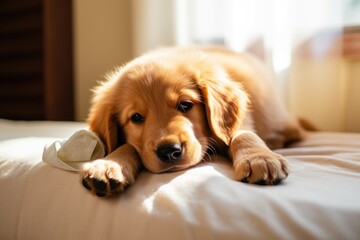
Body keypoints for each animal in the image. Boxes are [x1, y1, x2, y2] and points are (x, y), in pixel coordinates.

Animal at [81, 46, 304, 196]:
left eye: (185, 105)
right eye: (136, 117)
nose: (169, 151)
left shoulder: (236, 126)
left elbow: (244, 135)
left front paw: (260, 158)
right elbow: (129, 146)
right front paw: (110, 164)